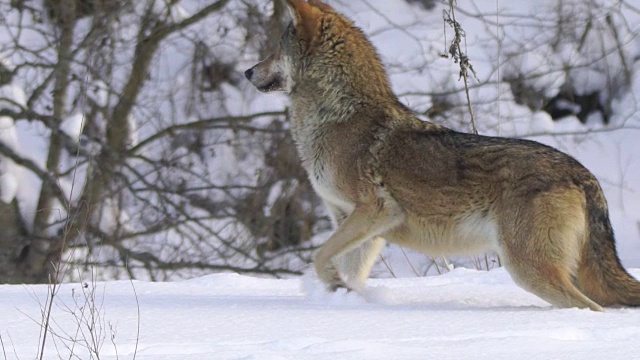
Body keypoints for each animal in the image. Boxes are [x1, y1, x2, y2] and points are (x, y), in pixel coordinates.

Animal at [245, 0, 640, 310]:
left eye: (275, 49)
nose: (248, 71)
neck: (337, 116)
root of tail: (584, 174)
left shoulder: (375, 212)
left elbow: (318, 256)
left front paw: (333, 284)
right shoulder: (361, 227)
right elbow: (346, 269)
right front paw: (345, 297)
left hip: (528, 269)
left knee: (589, 308)